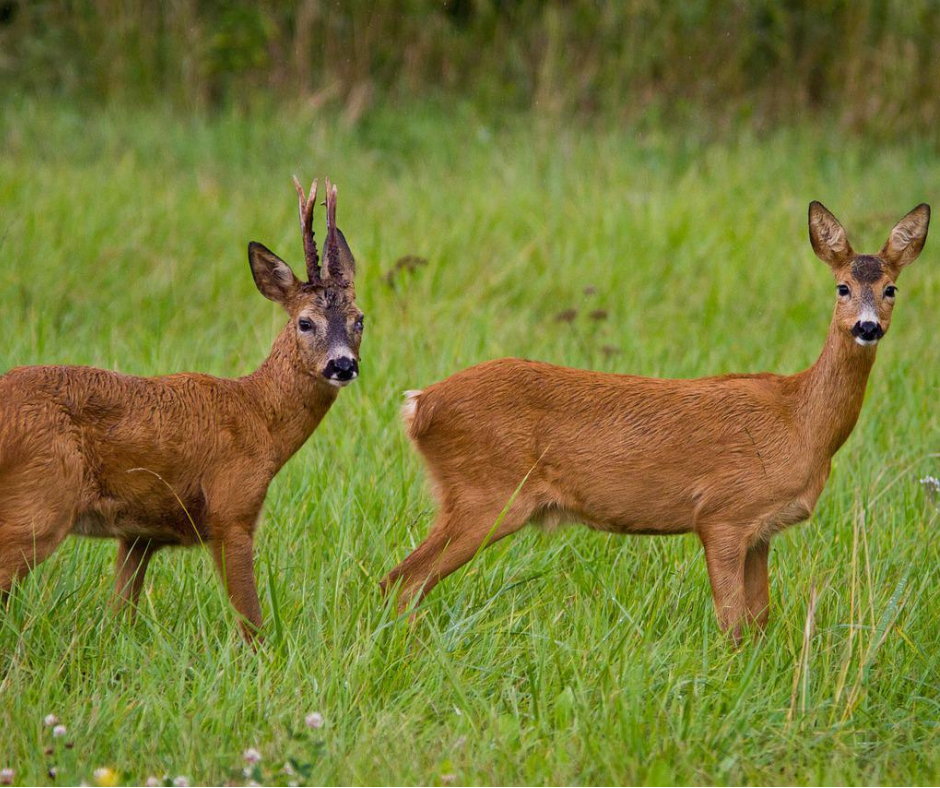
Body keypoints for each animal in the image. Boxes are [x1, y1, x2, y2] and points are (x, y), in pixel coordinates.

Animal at [0, 177, 364, 640]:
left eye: (359, 319)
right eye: (305, 322)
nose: (342, 365)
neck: (258, 417)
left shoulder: (138, 534)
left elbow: (121, 614)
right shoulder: (231, 509)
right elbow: (252, 624)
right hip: (40, 499)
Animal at [384, 202, 932, 640]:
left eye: (891, 289)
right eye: (842, 287)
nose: (867, 327)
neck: (800, 420)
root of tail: (420, 403)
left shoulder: (761, 530)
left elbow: (759, 620)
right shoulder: (723, 512)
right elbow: (731, 623)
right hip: (485, 492)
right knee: (403, 581)